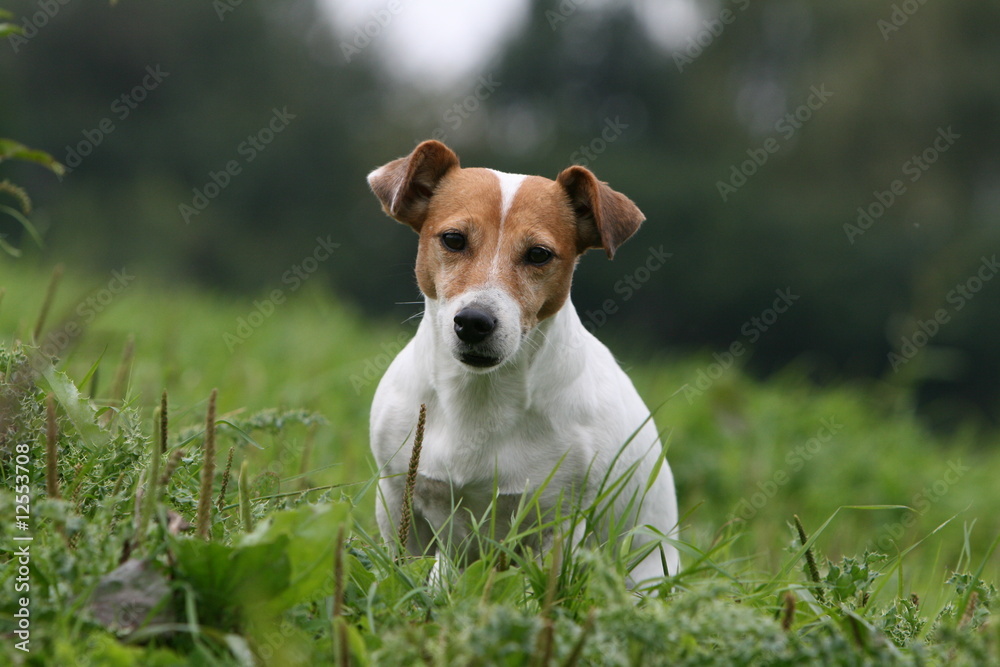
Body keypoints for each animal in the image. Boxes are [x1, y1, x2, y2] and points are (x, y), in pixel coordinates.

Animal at [368, 141, 680, 584]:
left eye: (538, 254)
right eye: (453, 239)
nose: (474, 322)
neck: (479, 397)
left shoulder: (558, 521)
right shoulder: (397, 495)